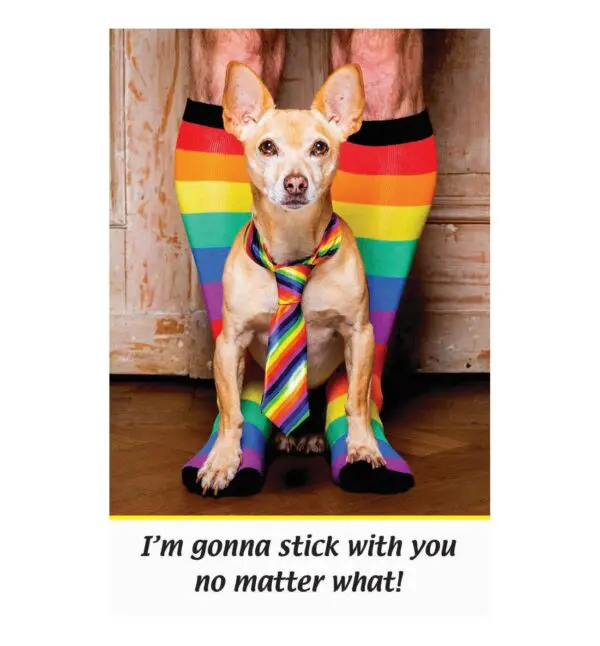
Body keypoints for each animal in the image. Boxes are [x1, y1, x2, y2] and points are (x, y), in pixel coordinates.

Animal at [197, 62, 384, 496]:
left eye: (320, 147)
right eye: (267, 147)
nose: (296, 182)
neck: (292, 252)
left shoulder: (360, 334)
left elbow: (357, 403)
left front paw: (363, 447)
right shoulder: (229, 343)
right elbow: (231, 412)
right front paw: (223, 460)